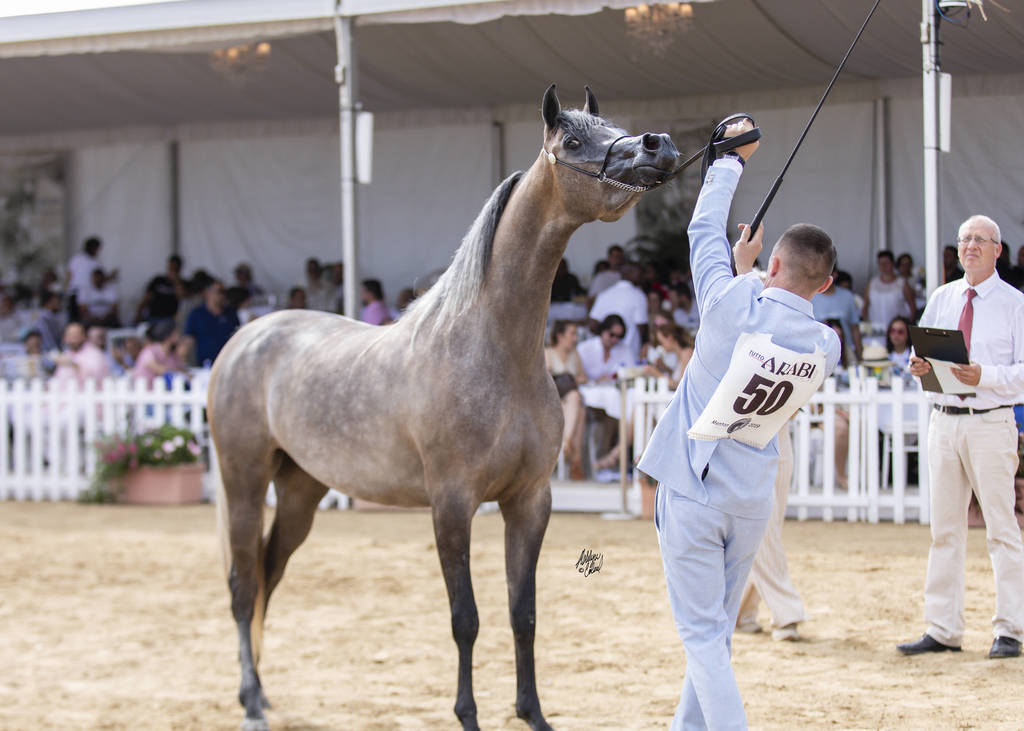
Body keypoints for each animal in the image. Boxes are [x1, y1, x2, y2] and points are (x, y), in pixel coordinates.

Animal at [209, 84, 681, 731]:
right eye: (572, 140)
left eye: (613, 125)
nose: (659, 146)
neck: (494, 351)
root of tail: (244, 339)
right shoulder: (452, 505)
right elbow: (467, 620)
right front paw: (469, 715)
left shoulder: (529, 502)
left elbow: (523, 614)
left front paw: (533, 714)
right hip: (245, 481)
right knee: (240, 583)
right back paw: (252, 701)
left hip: (302, 489)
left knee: (267, 575)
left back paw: (259, 692)